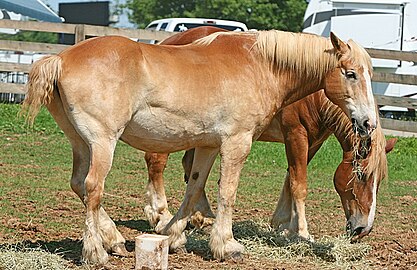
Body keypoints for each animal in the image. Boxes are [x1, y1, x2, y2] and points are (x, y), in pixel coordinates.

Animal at [21, 29, 376, 264]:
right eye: (351, 74)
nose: (369, 123)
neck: (259, 65)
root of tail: (60, 58)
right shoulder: (237, 142)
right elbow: (227, 192)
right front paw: (227, 245)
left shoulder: (207, 145)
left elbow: (194, 189)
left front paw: (173, 236)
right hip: (102, 142)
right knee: (93, 187)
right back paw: (95, 251)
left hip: (81, 142)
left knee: (79, 184)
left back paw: (116, 241)